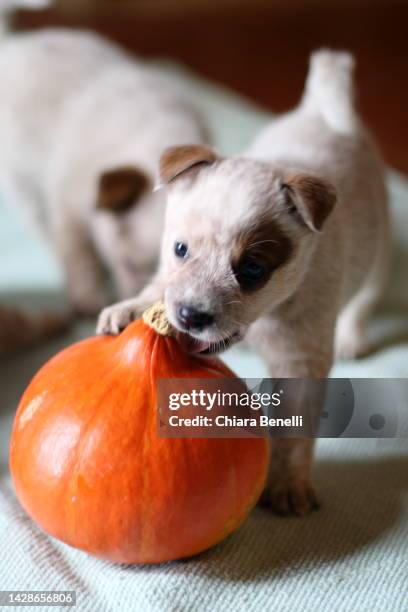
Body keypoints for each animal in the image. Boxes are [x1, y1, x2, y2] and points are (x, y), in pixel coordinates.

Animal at [0, 23, 209, 314]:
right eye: (128, 264)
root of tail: (13, 44)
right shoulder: (69, 210)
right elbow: (80, 257)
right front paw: (89, 298)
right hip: (23, 183)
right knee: (43, 226)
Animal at [98, 50, 388, 512]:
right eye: (180, 249)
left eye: (252, 269)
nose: (190, 316)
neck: (268, 316)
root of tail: (324, 108)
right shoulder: (169, 276)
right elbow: (157, 287)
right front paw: (126, 310)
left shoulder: (300, 357)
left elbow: (294, 429)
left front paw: (288, 482)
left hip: (380, 244)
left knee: (369, 294)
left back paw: (353, 335)